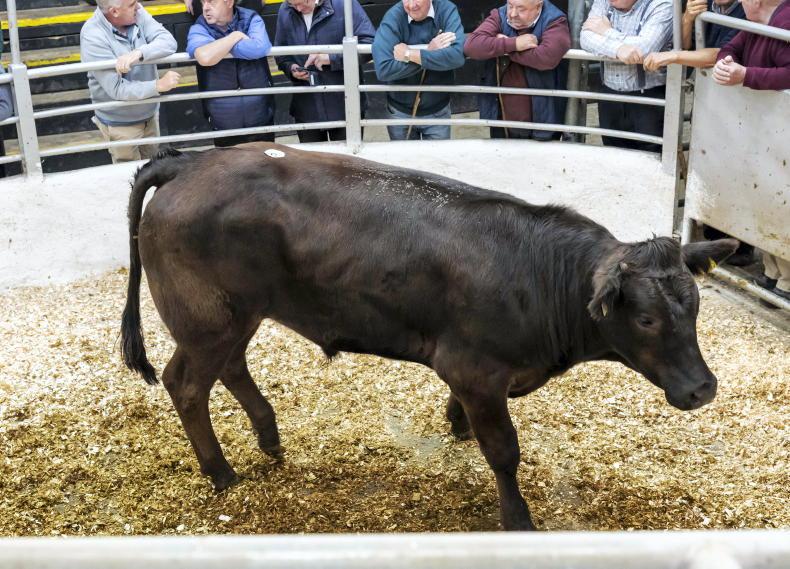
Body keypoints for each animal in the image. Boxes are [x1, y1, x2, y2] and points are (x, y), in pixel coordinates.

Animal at [121, 143, 737, 531]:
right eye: (647, 319)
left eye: (695, 306)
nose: (703, 389)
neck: (537, 273)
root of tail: (189, 162)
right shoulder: (476, 369)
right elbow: (504, 451)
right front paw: (517, 518)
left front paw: (455, 422)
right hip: (206, 318)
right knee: (187, 385)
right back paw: (222, 472)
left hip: (237, 314)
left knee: (232, 367)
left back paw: (269, 438)